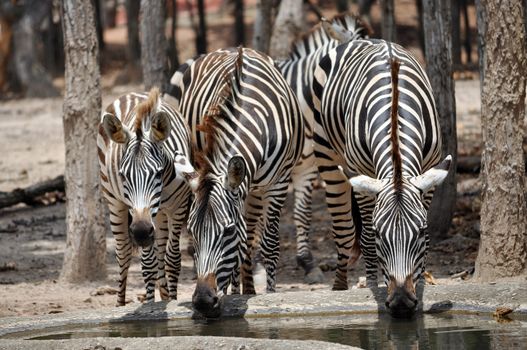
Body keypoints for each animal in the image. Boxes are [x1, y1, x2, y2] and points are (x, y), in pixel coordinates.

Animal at [97, 88, 192, 306]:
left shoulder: (179, 207)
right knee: (123, 253)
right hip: (114, 201)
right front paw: (149, 305)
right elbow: (148, 264)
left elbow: (172, 259)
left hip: (160, 214)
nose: (140, 232)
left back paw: (165, 296)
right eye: (123, 175)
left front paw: (172, 300)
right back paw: (120, 304)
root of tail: (130, 93)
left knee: (160, 250)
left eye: (158, 173)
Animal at [173, 46, 306, 318]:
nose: (203, 302)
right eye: (192, 231)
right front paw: (234, 295)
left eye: (228, 231)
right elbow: (241, 247)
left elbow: (269, 244)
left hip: (255, 190)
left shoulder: (279, 183)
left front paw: (270, 294)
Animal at [312, 39, 452, 318]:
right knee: (343, 229)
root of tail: (363, 39)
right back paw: (340, 286)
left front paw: (421, 282)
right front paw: (372, 285)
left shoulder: (429, 171)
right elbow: (366, 238)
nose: (401, 303)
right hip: (327, 154)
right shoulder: (361, 176)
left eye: (421, 231)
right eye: (379, 233)